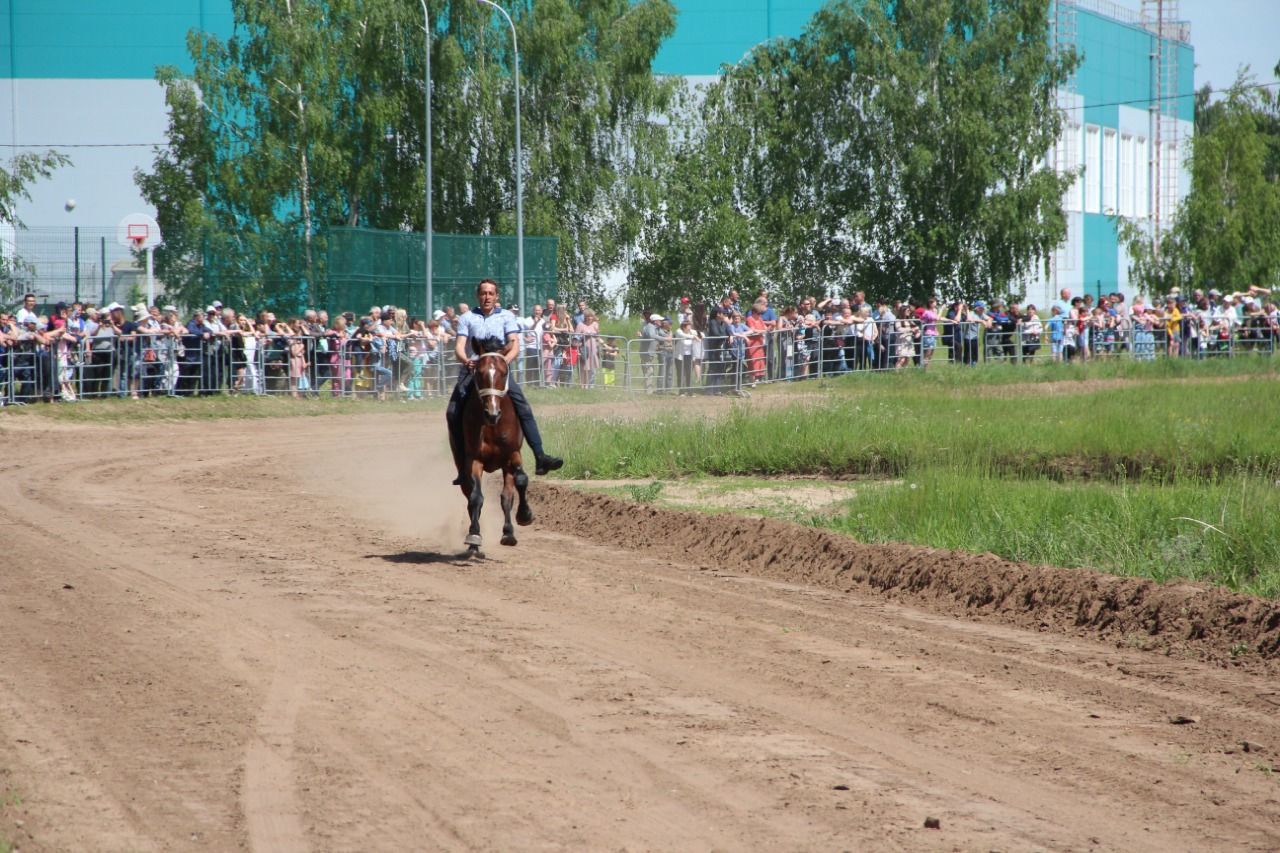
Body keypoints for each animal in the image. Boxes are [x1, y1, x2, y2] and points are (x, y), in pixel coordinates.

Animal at [460, 348, 529, 550]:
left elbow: (519, 482)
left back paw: (508, 532)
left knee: (507, 496)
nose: (492, 413)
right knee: (470, 496)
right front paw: (474, 535)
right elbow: (476, 497)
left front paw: (523, 516)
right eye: (479, 373)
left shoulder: (512, 456)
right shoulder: (474, 460)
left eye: (504, 373)